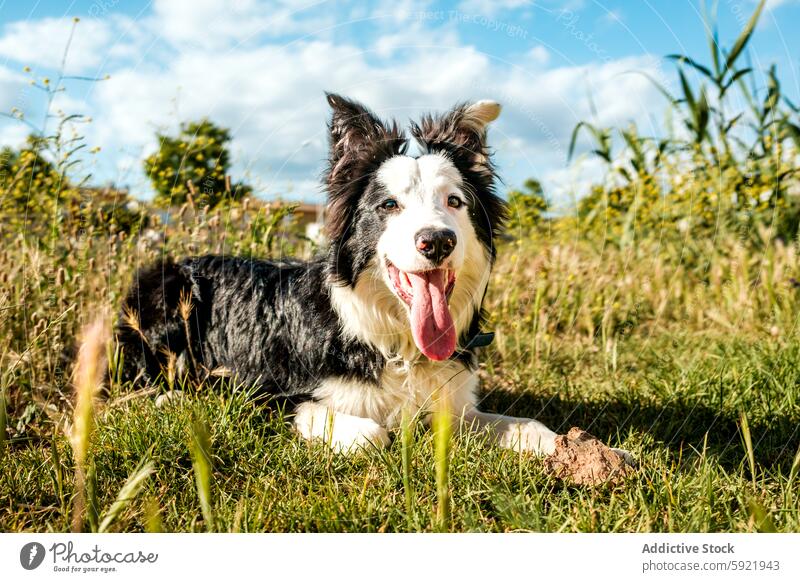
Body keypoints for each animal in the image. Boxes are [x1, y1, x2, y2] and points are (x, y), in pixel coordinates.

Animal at [117, 94, 632, 460]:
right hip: (166, 297)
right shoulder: (263, 391)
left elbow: (531, 425)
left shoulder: (456, 406)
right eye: (389, 205)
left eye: (454, 202)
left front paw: (607, 452)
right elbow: (369, 433)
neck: (398, 341)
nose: (436, 242)